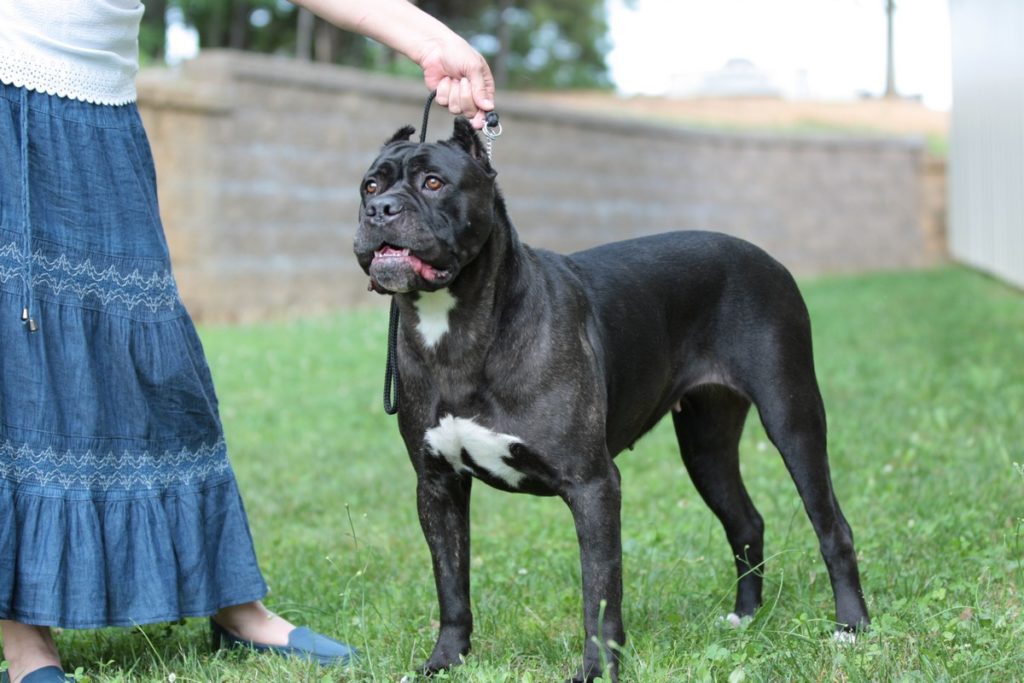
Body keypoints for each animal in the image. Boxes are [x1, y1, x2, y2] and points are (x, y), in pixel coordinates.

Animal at [354, 120, 872, 679]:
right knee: (745, 520)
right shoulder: (437, 486)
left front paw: (597, 669)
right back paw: (746, 615)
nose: (380, 209)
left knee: (832, 525)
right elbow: (451, 583)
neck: (456, 329)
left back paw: (851, 626)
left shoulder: (593, 485)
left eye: (433, 183)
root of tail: (766, 257)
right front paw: (445, 661)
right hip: (706, 447)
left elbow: (599, 592)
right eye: (369, 185)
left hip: (792, 419)